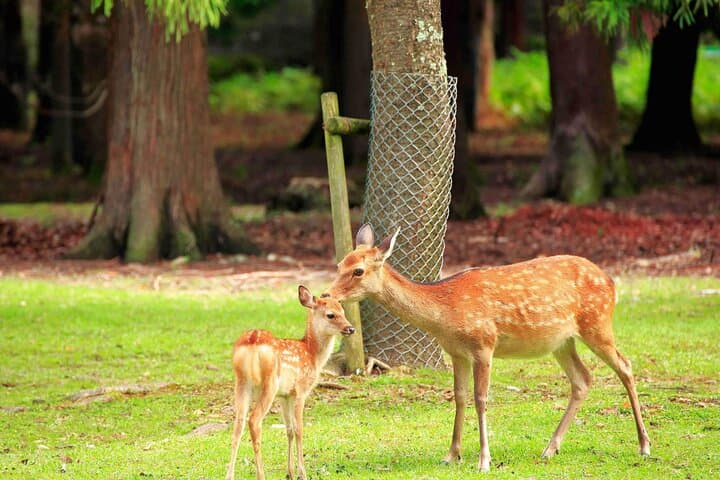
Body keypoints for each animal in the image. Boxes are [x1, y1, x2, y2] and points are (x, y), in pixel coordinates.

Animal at [225, 286, 355, 480]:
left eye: (343, 311)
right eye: (330, 315)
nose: (350, 328)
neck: (312, 354)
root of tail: (252, 341)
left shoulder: (285, 395)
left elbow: (289, 430)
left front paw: (290, 472)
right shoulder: (301, 389)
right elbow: (299, 429)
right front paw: (302, 473)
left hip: (241, 382)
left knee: (238, 425)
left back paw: (229, 475)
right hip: (269, 383)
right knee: (254, 421)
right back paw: (261, 475)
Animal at [326, 224, 651, 472]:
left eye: (358, 271)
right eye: (339, 264)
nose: (326, 294)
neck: (445, 312)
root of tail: (611, 281)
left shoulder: (484, 344)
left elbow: (480, 398)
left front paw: (484, 460)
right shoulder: (456, 352)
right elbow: (459, 396)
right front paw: (451, 455)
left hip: (597, 323)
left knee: (625, 366)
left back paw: (644, 445)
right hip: (562, 341)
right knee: (583, 379)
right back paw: (550, 448)